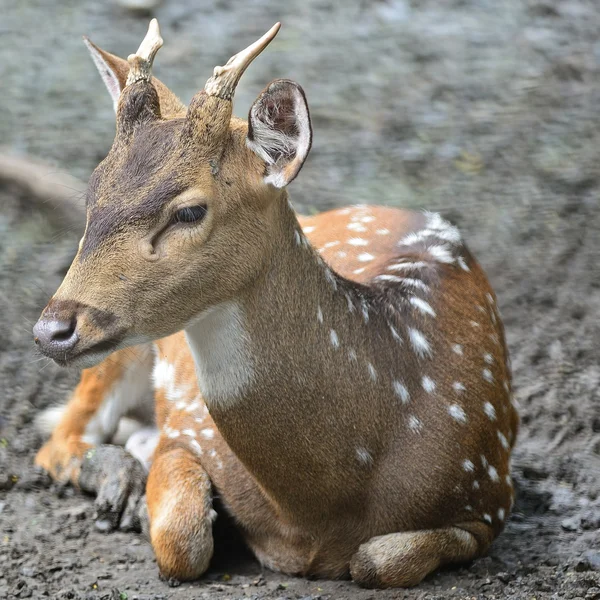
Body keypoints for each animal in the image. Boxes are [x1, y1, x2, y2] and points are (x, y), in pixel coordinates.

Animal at [35, 21, 516, 588]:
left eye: (190, 211)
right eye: (91, 194)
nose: (52, 330)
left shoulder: (491, 492)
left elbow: (377, 560)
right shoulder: (187, 428)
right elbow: (182, 540)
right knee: (60, 437)